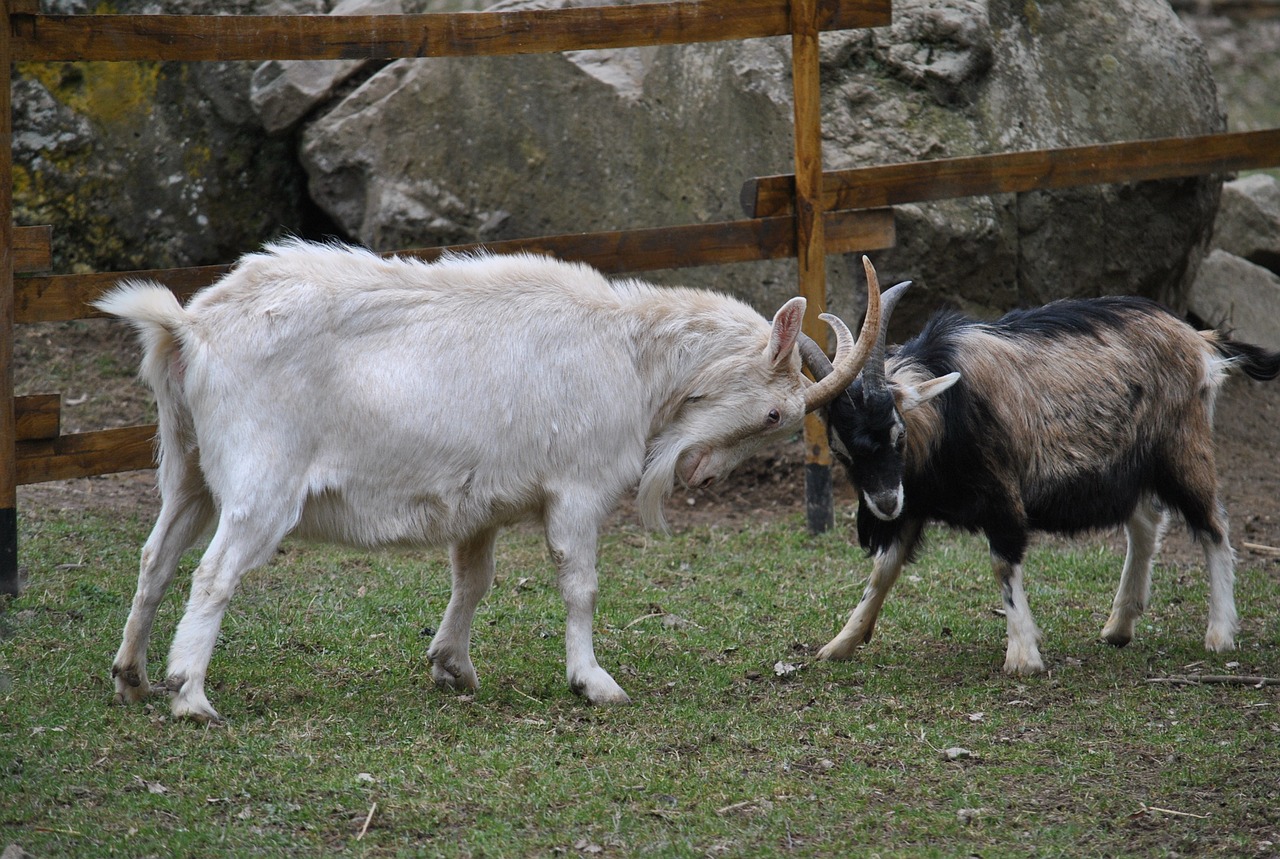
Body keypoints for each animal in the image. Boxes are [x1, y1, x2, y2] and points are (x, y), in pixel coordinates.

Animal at [94, 240, 883, 723]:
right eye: (776, 411)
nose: (702, 474)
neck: (632, 351)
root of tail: (189, 329)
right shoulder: (577, 488)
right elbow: (579, 583)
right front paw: (594, 682)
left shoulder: (479, 505)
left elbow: (473, 580)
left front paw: (453, 667)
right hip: (263, 484)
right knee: (213, 572)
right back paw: (191, 695)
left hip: (189, 470)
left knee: (155, 558)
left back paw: (133, 676)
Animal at [801, 285, 1280, 675]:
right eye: (842, 453)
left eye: (897, 435)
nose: (883, 504)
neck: (951, 407)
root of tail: (1198, 340)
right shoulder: (914, 501)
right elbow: (883, 570)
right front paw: (840, 644)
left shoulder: (1000, 494)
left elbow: (1002, 562)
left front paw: (1022, 656)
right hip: (1129, 464)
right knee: (1146, 523)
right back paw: (1119, 626)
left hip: (1181, 449)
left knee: (1214, 526)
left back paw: (1219, 634)